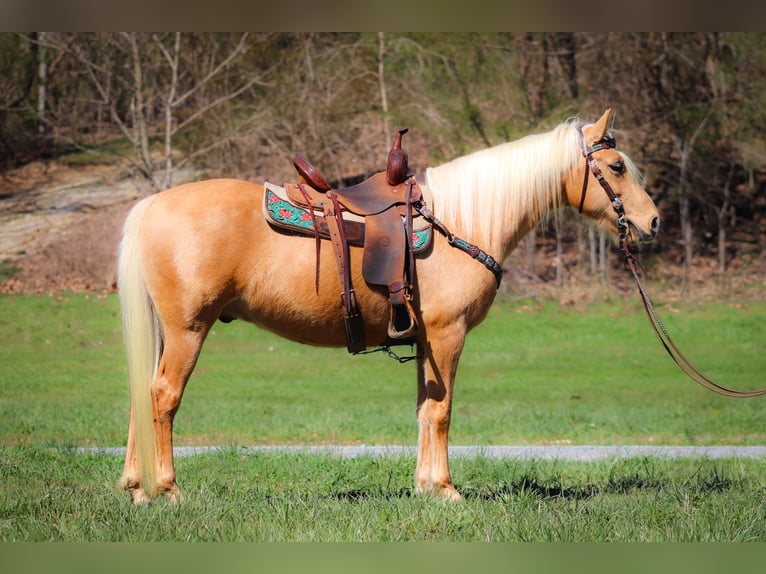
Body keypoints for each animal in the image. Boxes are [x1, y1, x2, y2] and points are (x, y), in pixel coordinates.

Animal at [117, 109, 656, 504]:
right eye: (616, 167)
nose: (652, 221)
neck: (461, 220)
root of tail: (152, 205)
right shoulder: (447, 334)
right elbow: (442, 412)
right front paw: (445, 490)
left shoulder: (424, 340)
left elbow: (423, 409)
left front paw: (424, 486)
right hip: (189, 329)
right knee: (163, 396)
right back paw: (167, 490)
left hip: (166, 332)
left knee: (142, 394)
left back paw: (136, 489)